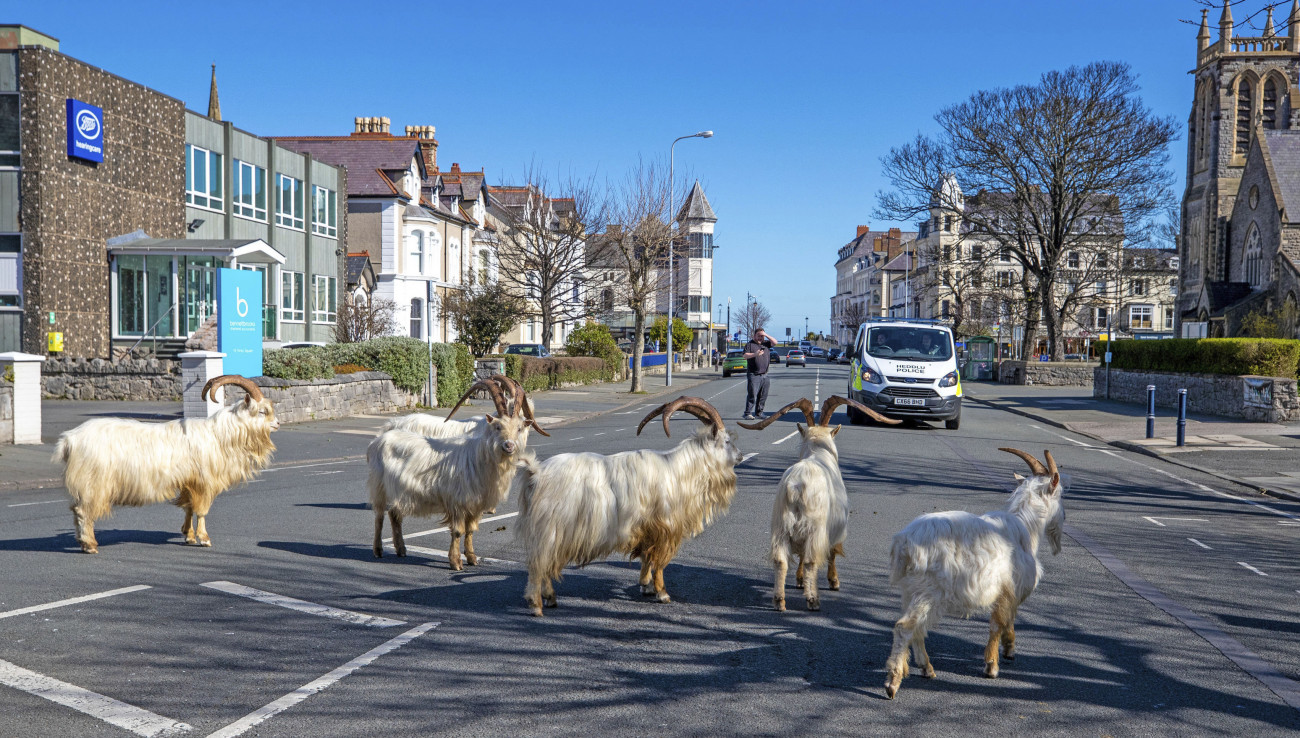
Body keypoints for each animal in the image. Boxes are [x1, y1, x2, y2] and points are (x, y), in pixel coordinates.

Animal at [51, 374, 279, 553]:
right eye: (262, 411)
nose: (277, 424)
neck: (220, 434)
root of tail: (69, 440)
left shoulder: (188, 481)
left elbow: (188, 507)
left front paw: (188, 536)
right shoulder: (204, 482)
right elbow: (202, 511)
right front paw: (204, 539)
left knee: (76, 510)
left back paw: (83, 543)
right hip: (94, 482)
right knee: (83, 511)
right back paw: (90, 545)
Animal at [366, 376, 538, 569]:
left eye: (519, 428)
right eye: (497, 427)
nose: (509, 445)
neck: (478, 457)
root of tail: (379, 438)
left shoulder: (476, 504)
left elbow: (470, 530)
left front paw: (472, 558)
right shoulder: (457, 501)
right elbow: (457, 531)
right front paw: (455, 562)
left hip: (399, 491)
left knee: (395, 515)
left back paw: (401, 549)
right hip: (379, 486)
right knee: (379, 516)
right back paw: (378, 550)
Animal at [512, 397, 748, 615]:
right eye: (727, 440)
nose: (740, 456)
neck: (680, 471)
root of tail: (536, 472)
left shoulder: (646, 528)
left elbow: (646, 557)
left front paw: (646, 586)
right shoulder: (666, 527)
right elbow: (659, 562)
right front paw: (662, 593)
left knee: (545, 563)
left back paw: (549, 598)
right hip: (551, 529)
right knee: (539, 564)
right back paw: (537, 604)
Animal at [738, 397, 899, 610]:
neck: (818, 453)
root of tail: (796, 485)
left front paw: (799, 581)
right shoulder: (836, 528)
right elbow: (832, 553)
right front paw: (834, 582)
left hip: (781, 526)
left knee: (781, 561)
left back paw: (780, 601)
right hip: (814, 527)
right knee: (811, 561)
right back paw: (813, 600)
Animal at [883, 449, 1066, 696]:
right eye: (1060, 494)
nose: (1064, 517)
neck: (1025, 527)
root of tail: (904, 543)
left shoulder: (1007, 591)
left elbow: (1007, 619)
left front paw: (1009, 649)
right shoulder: (1008, 588)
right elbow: (998, 623)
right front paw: (992, 666)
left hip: (910, 590)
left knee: (916, 628)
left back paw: (925, 668)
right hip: (929, 591)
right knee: (906, 627)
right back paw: (892, 683)